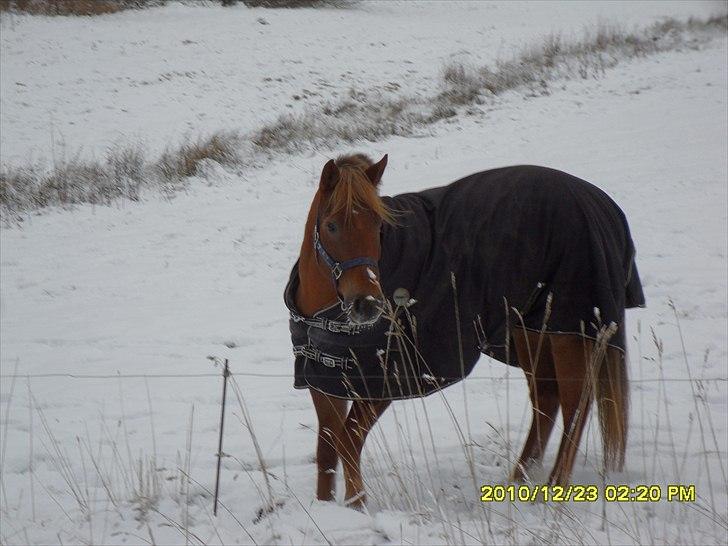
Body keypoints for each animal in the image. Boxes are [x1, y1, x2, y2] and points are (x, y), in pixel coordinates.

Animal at [282, 152, 644, 506]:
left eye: (378, 225)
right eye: (331, 226)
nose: (367, 304)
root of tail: (603, 205)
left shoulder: (386, 380)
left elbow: (348, 441)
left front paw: (356, 506)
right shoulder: (325, 379)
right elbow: (327, 450)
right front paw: (326, 506)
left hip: (566, 331)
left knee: (575, 403)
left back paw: (554, 490)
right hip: (530, 329)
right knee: (547, 398)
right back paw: (518, 483)